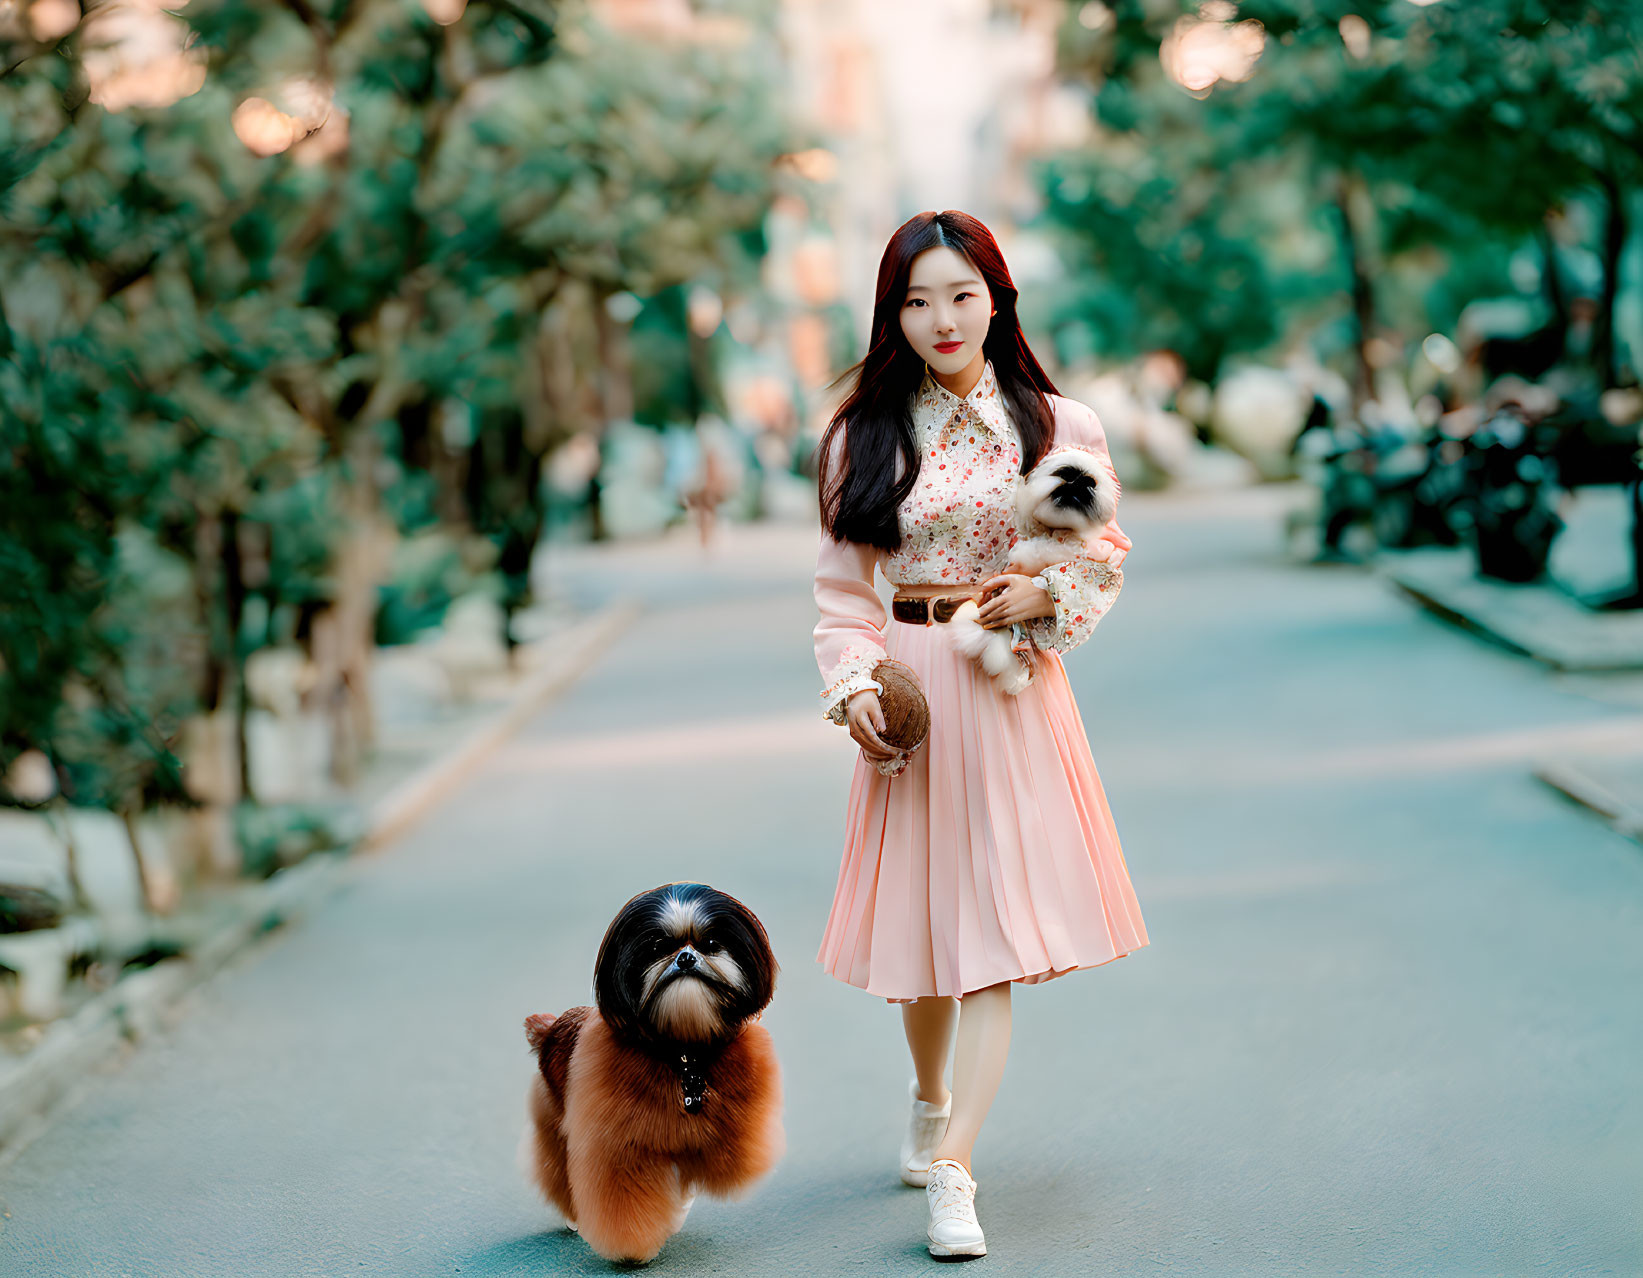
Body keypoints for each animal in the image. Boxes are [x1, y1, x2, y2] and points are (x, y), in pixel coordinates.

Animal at [522, 880, 785, 1261]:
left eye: (710, 944)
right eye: (659, 947)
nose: (686, 957)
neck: (683, 1052)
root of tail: (550, 1029)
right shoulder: (619, 1149)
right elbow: (624, 1198)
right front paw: (632, 1248)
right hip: (554, 1123)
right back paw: (575, 1218)